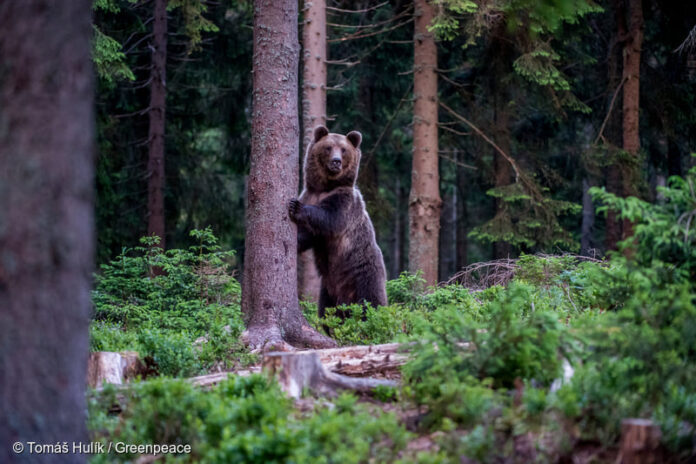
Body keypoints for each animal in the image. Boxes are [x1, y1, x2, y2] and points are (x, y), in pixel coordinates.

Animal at [286, 125, 386, 318]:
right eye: (328, 147)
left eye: (344, 149)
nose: (336, 162)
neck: (324, 188)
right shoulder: (310, 195)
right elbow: (308, 234)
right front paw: (296, 241)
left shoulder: (344, 203)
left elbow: (330, 218)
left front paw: (296, 206)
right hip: (327, 288)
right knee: (326, 311)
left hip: (363, 274)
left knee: (371, 303)